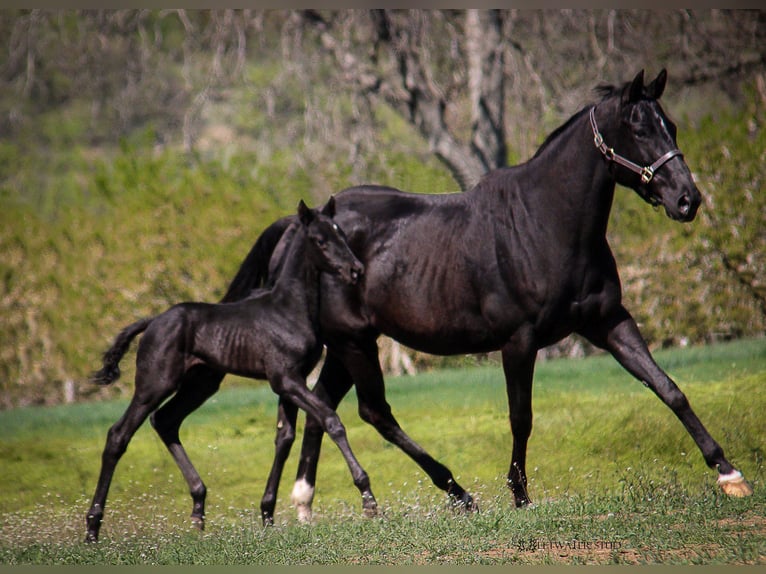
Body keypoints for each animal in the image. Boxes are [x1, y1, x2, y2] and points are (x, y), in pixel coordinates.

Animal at [84, 199, 373, 542]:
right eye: (319, 240)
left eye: (340, 232)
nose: (356, 270)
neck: (288, 310)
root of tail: (153, 321)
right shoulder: (285, 379)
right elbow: (331, 420)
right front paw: (368, 497)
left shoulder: (292, 380)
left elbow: (285, 437)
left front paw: (267, 515)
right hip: (155, 383)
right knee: (119, 435)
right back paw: (92, 528)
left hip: (201, 384)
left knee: (165, 421)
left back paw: (198, 510)